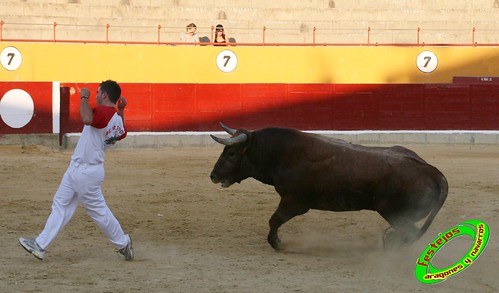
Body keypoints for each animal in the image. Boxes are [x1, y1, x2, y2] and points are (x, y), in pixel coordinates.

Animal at [211, 122, 450, 250]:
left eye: (231, 153)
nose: (213, 176)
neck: (281, 155)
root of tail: (432, 171)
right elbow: (274, 220)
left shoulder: (294, 202)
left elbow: (274, 220)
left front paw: (277, 243)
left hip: (396, 214)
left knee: (408, 234)